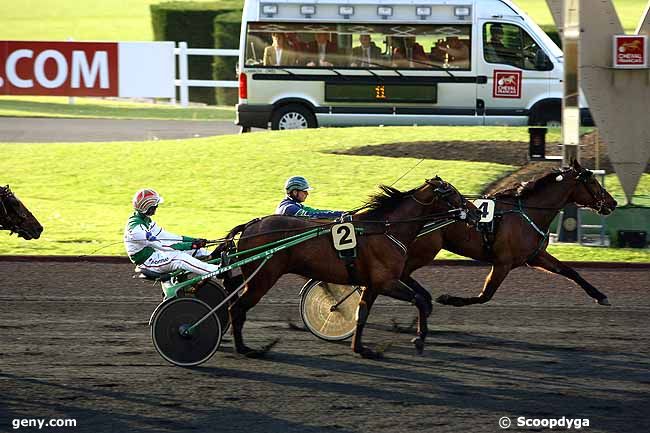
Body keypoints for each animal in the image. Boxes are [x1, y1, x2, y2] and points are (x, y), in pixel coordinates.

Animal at [220, 176, 478, 358]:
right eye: (453, 193)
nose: (476, 213)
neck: (386, 229)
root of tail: (250, 226)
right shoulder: (386, 281)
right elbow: (420, 300)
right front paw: (419, 340)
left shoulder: (373, 284)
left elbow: (361, 314)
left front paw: (361, 349)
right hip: (262, 277)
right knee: (236, 307)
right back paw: (244, 348)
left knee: (234, 296)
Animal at [400, 159, 616, 308]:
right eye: (592, 181)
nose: (613, 203)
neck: (528, 212)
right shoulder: (503, 263)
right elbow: (485, 296)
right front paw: (449, 298)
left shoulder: (535, 256)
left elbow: (570, 271)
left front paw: (600, 296)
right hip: (425, 251)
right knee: (402, 274)